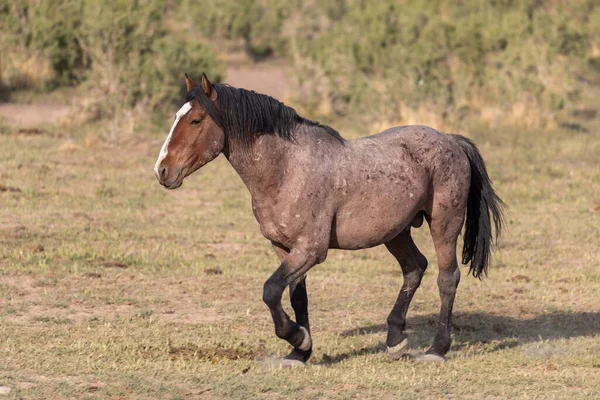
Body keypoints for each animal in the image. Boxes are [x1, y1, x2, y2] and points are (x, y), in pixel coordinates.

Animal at [156, 72, 506, 366]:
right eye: (176, 117)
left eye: (196, 120)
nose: (162, 170)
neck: (286, 169)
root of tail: (452, 140)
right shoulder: (284, 248)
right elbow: (296, 296)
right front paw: (299, 353)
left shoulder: (311, 250)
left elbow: (270, 290)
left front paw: (297, 338)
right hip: (396, 232)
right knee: (414, 268)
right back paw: (395, 339)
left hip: (444, 224)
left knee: (447, 278)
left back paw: (436, 349)